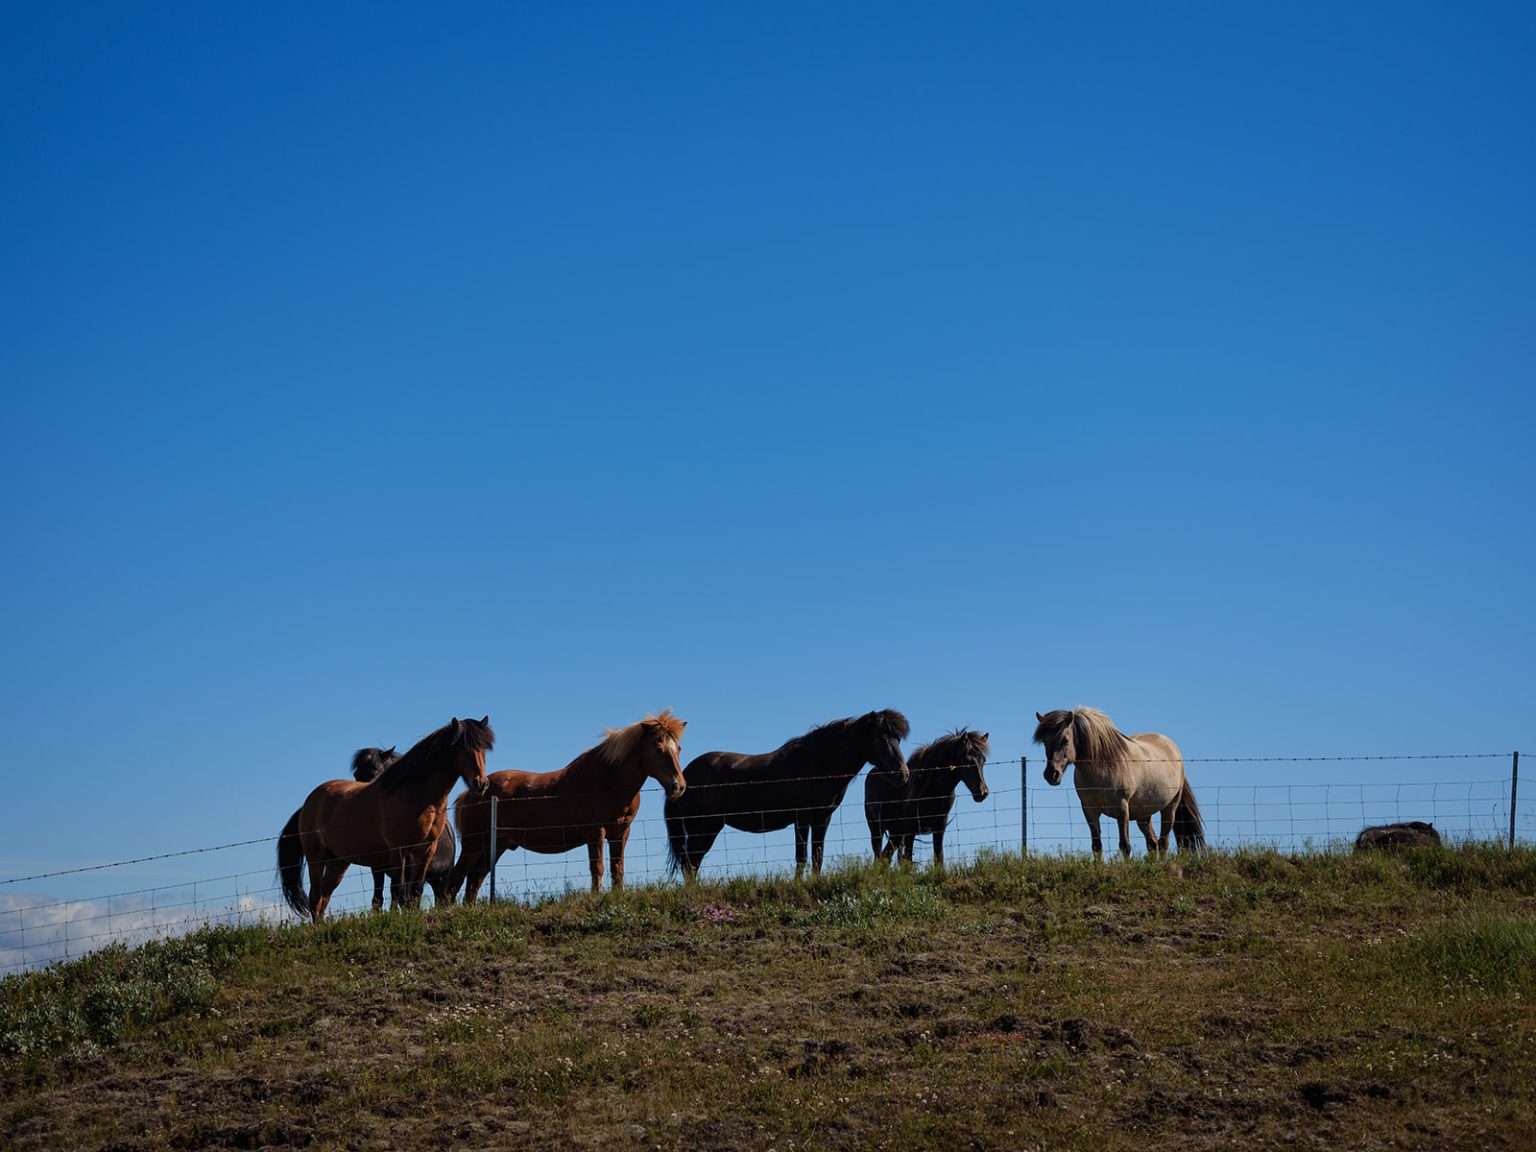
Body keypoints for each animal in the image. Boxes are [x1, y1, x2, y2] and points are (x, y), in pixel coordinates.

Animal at [350, 747, 459, 909]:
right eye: (356, 775)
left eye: (375, 773)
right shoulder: (378, 866)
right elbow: (378, 898)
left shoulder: (408, 864)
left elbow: (402, 895)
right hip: (432, 878)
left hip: (443, 873)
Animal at [451, 710, 687, 901]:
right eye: (658, 748)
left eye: (678, 748)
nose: (678, 786)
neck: (609, 781)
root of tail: (471, 792)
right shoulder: (595, 832)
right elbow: (597, 867)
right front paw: (596, 897)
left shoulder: (621, 832)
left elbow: (617, 868)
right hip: (473, 845)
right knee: (456, 878)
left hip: (494, 845)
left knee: (474, 880)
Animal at [665, 709, 910, 880]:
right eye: (882, 739)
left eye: (897, 739)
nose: (903, 774)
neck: (817, 764)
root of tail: (683, 775)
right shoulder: (802, 817)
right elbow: (801, 856)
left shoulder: (822, 818)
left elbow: (817, 855)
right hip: (701, 828)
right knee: (690, 863)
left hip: (709, 828)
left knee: (692, 863)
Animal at [865, 729, 990, 868]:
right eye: (967, 760)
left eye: (983, 760)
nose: (982, 792)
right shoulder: (910, 829)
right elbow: (908, 861)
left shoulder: (939, 828)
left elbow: (939, 860)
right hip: (876, 827)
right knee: (879, 856)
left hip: (896, 832)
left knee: (885, 857)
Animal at [1033, 707, 1204, 858]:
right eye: (1045, 742)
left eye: (1065, 739)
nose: (1051, 775)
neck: (1100, 769)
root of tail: (1173, 748)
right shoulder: (1089, 810)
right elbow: (1097, 846)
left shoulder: (1121, 808)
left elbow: (1124, 845)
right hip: (1143, 814)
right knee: (1152, 843)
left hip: (1170, 808)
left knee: (1163, 843)